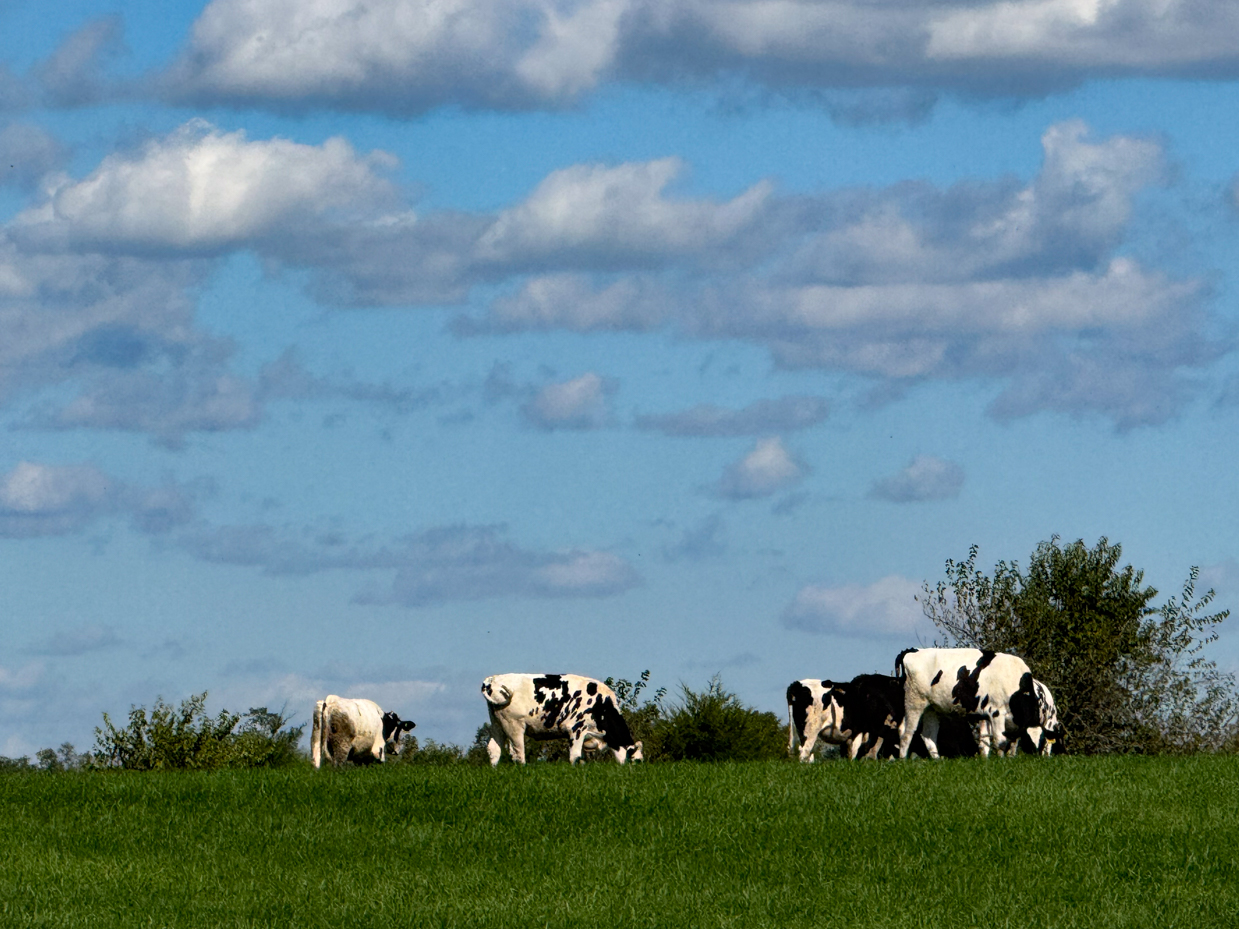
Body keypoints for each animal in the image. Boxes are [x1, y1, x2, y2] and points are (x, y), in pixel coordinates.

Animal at [478, 673, 644, 767]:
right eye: (637, 761)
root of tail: (493, 679)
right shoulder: (577, 729)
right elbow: (575, 756)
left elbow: (581, 758)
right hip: (513, 725)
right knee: (517, 752)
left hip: (497, 724)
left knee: (494, 749)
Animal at [897, 649, 1050, 758]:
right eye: (1030, 742)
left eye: (1043, 741)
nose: (1038, 757)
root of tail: (912, 651)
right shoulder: (996, 712)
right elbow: (1000, 741)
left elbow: (1005, 743)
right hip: (914, 701)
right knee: (906, 733)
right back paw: (903, 760)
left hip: (931, 708)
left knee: (928, 735)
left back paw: (937, 760)